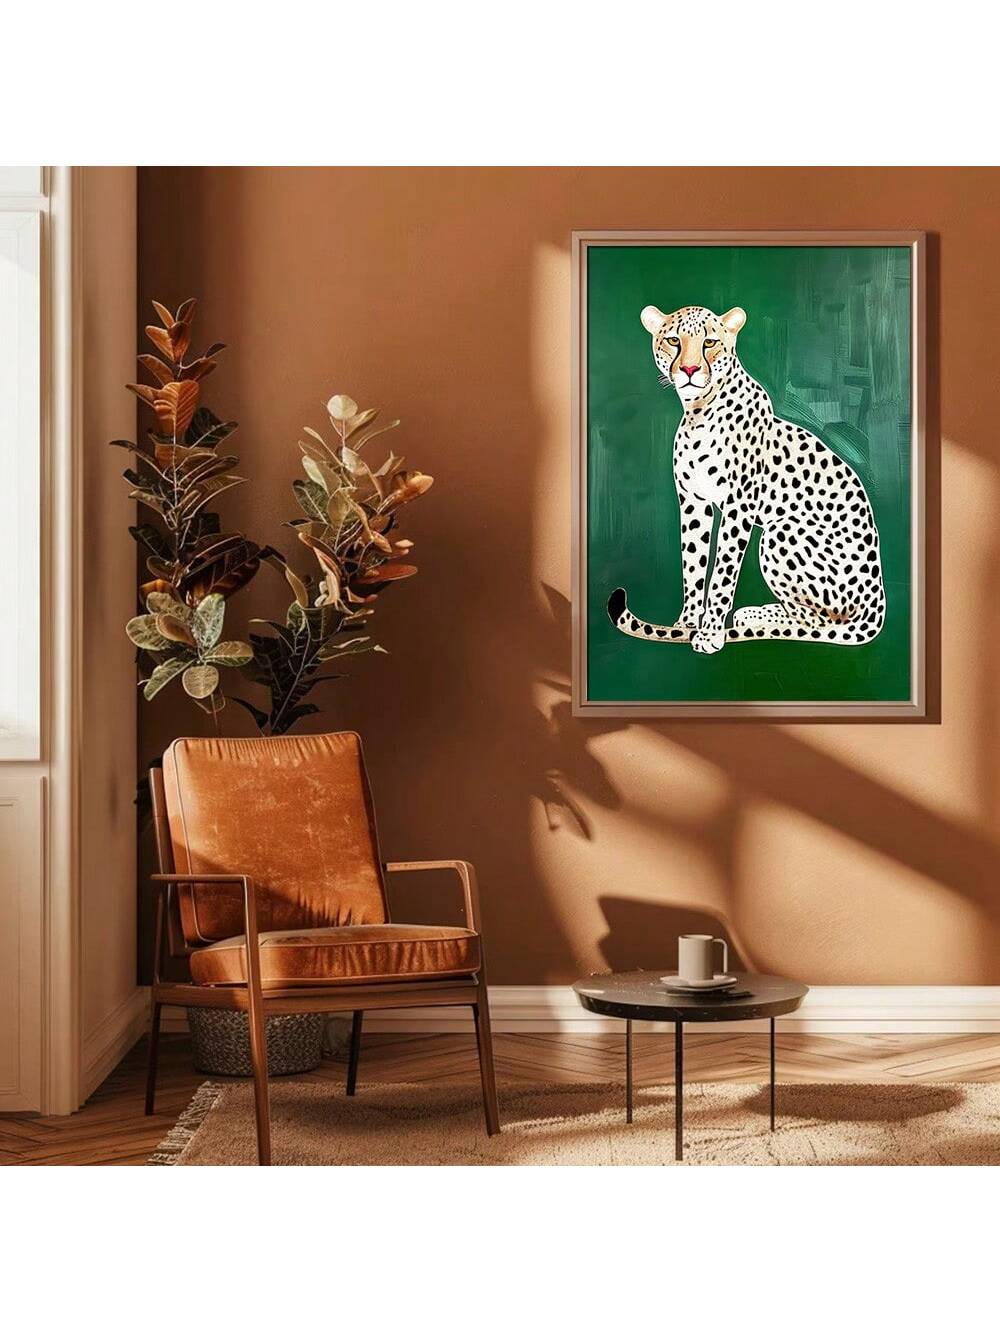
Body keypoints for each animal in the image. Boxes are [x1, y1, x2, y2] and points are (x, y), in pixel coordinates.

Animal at [606, 303, 886, 655]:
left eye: (709, 342)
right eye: (673, 340)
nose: (689, 369)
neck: (698, 410)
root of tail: (877, 605)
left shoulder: (737, 508)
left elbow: (722, 574)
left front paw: (710, 633)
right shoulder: (694, 503)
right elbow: (693, 565)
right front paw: (686, 625)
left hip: (781, 532)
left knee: (821, 621)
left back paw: (756, 618)